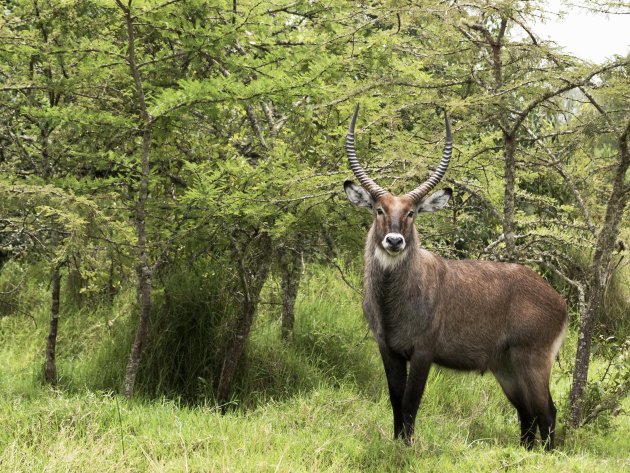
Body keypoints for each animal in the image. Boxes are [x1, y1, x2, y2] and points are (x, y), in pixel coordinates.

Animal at [344, 104, 572, 450]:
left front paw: (406, 449)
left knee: (546, 412)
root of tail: (558, 300)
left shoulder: (423, 351)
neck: (393, 301)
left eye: (411, 212)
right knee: (526, 414)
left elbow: (411, 402)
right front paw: (397, 443)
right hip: (505, 366)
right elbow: (396, 401)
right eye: (379, 209)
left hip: (532, 359)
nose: (395, 241)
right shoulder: (387, 348)